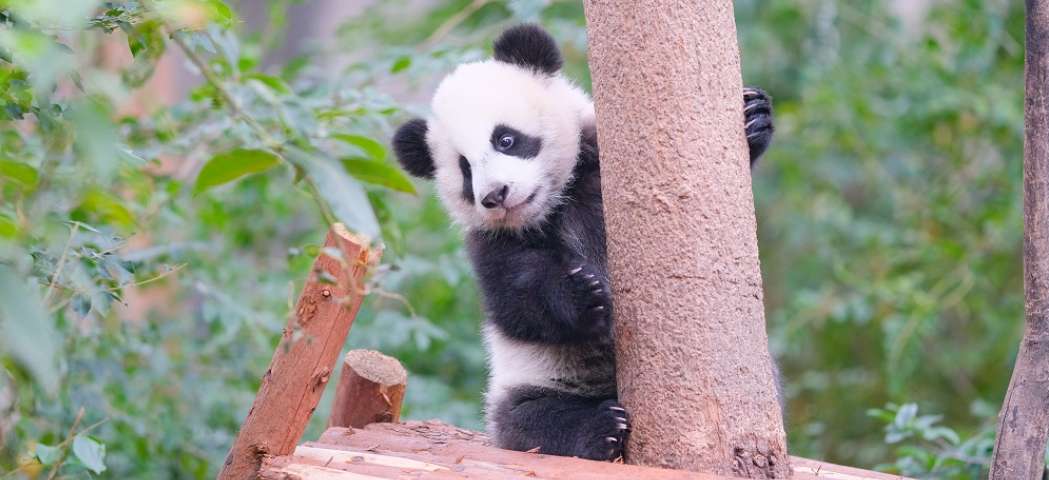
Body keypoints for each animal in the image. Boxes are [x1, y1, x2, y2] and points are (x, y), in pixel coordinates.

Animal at [392, 24, 774, 461]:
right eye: (465, 169)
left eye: (505, 139)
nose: (496, 195)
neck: (555, 203)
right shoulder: (491, 244)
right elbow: (516, 303)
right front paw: (583, 296)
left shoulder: (594, 170)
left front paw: (753, 117)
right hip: (528, 386)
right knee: (532, 420)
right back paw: (601, 428)